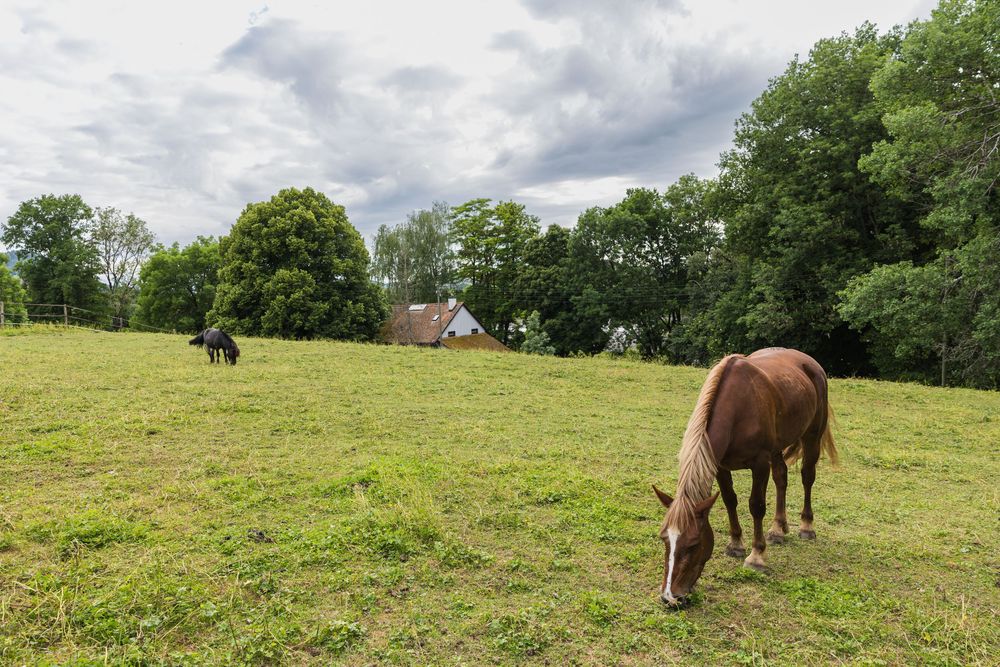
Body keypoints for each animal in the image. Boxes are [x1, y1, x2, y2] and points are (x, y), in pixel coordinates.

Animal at [652, 347, 838, 607]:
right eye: (664, 539)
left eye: (694, 543)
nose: (671, 597)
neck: (737, 410)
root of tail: (810, 363)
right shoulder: (720, 465)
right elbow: (730, 500)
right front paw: (736, 544)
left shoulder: (759, 463)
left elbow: (756, 506)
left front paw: (756, 556)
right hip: (777, 448)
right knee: (781, 478)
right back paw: (778, 529)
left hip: (812, 436)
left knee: (807, 477)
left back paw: (806, 526)